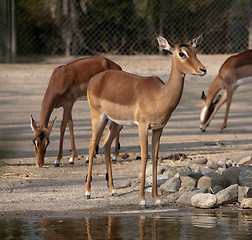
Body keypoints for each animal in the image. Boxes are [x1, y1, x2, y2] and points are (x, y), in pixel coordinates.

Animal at [85, 34, 207, 208]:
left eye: (195, 51)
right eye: (181, 53)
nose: (202, 70)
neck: (159, 95)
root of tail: (95, 79)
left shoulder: (158, 128)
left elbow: (155, 157)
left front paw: (157, 199)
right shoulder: (142, 126)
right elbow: (144, 156)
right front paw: (142, 200)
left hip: (116, 123)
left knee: (105, 142)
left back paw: (113, 190)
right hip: (98, 117)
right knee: (92, 144)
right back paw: (88, 192)